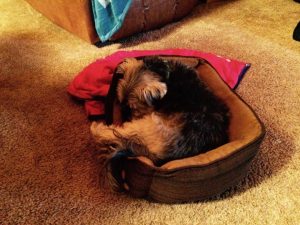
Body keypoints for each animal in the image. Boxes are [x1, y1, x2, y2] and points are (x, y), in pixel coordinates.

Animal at [91, 56, 230, 169]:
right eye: (121, 104)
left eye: (133, 108)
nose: (128, 117)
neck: (164, 74)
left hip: (149, 125)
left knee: (114, 134)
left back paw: (97, 128)